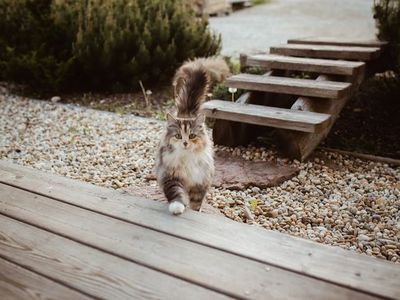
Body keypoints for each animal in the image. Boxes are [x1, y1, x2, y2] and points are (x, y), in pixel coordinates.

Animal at [157, 56, 230, 214]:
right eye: (178, 136)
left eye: (192, 136)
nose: (185, 143)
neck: (186, 159)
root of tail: (186, 114)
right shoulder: (171, 177)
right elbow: (176, 193)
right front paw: (177, 207)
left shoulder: (200, 182)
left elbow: (196, 203)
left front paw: (196, 212)